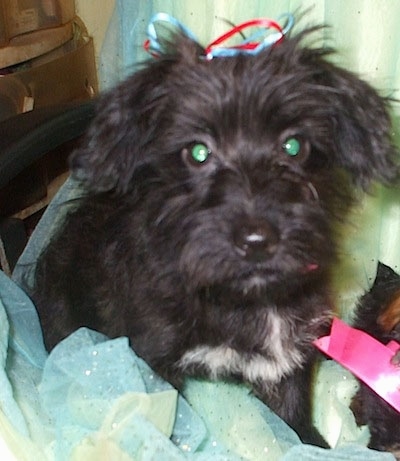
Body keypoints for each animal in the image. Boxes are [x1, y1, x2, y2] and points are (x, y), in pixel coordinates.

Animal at [30, 25, 396, 446]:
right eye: (198, 152)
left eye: (294, 145)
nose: (257, 240)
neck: (242, 298)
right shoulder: (151, 359)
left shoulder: (289, 355)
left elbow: (292, 421)